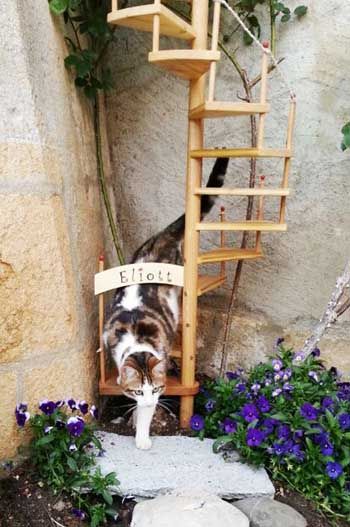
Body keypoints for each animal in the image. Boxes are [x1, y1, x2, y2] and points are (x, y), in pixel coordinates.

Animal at [103, 157, 230, 450]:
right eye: (138, 390)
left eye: (157, 389)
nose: (151, 399)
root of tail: (164, 238)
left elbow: (146, 414)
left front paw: (142, 435)